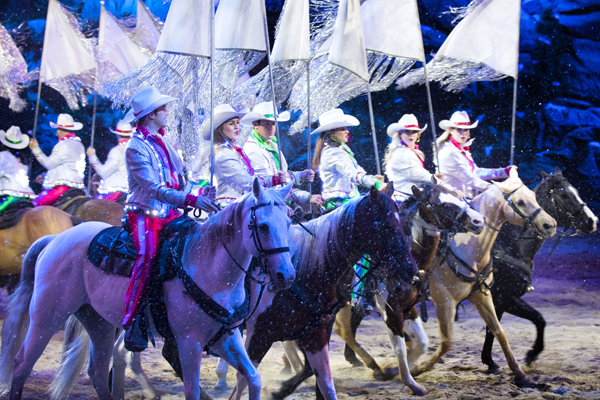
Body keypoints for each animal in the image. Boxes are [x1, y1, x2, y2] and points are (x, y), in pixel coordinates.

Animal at [0, 180, 296, 400]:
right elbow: (192, 390)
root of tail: (54, 239)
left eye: (288, 223)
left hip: (98, 322)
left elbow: (253, 378)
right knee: (21, 365)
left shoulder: (226, 337)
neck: (209, 268)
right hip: (47, 317)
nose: (287, 275)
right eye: (263, 226)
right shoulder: (189, 341)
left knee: (98, 371)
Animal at [230, 187, 418, 400]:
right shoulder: (259, 336)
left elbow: (320, 380)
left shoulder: (316, 333)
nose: (411, 270)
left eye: (404, 226)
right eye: (387, 227)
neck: (303, 268)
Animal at [332, 184, 488, 394]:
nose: (479, 220)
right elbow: (400, 348)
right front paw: (410, 382)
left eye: (455, 195)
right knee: (342, 329)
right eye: (444, 205)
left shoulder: (410, 307)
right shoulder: (391, 311)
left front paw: (399, 370)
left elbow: (421, 343)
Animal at [410, 169, 556, 388]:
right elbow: (447, 342)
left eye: (534, 196)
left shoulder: (483, 295)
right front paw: (419, 368)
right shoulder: (447, 300)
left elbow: (499, 331)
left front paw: (521, 375)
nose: (550, 224)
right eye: (520, 202)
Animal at [480, 168, 596, 372]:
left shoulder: (498, 301)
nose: (592, 221)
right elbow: (539, 318)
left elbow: (493, 329)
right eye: (564, 194)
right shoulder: (505, 297)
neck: (509, 247)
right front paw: (532, 353)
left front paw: (489, 361)